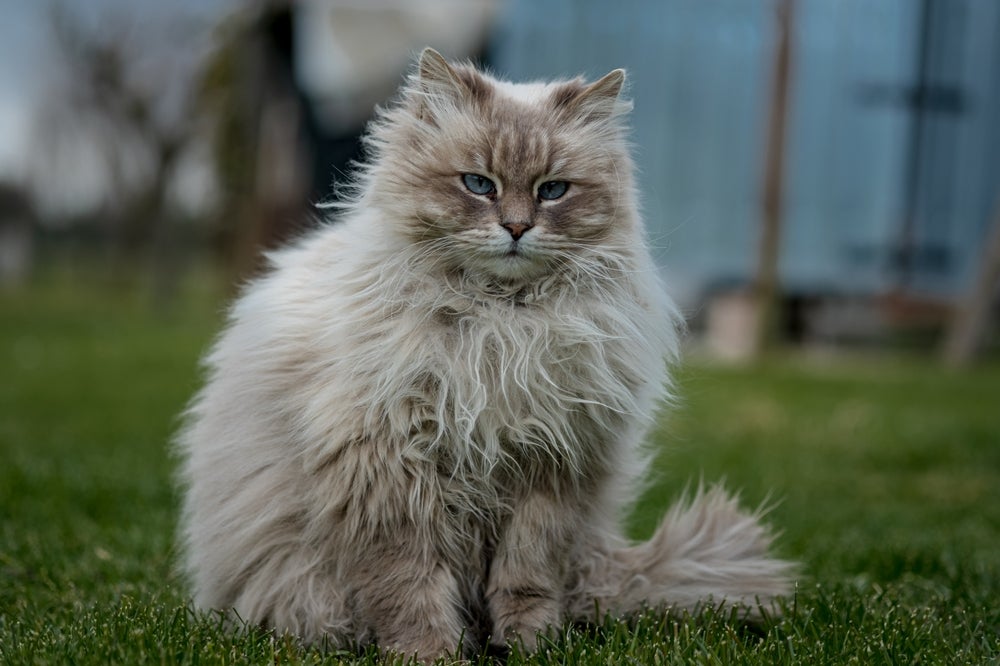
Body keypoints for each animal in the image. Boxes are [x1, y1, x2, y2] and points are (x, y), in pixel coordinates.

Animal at [176, 48, 792, 660]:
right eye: (478, 184)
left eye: (553, 190)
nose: (517, 228)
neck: (502, 326)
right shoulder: (390, 472)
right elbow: (411, 587)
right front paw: (429, 654)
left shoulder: (552, 468)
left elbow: (526, 579)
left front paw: (528, 647)